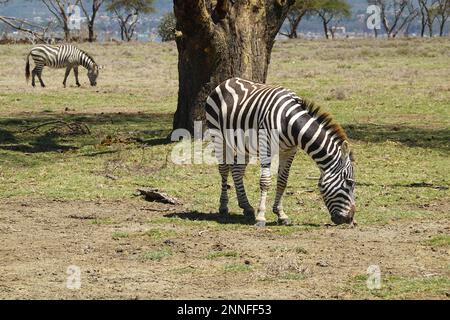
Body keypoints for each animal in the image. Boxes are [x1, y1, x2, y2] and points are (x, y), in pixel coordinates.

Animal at [206, 78, 356, 228]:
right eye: (349, 183)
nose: (350, 219)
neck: (290, 122)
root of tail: (227, 81)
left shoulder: (289, 150)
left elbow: (283, 181)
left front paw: (281, 214)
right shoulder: (266, 147)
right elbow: (265, 181)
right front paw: (261, 217)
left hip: (244, 143)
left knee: (237, 170)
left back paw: (246, 207)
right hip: (218, 135)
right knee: (224, 169)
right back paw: (223, 206)